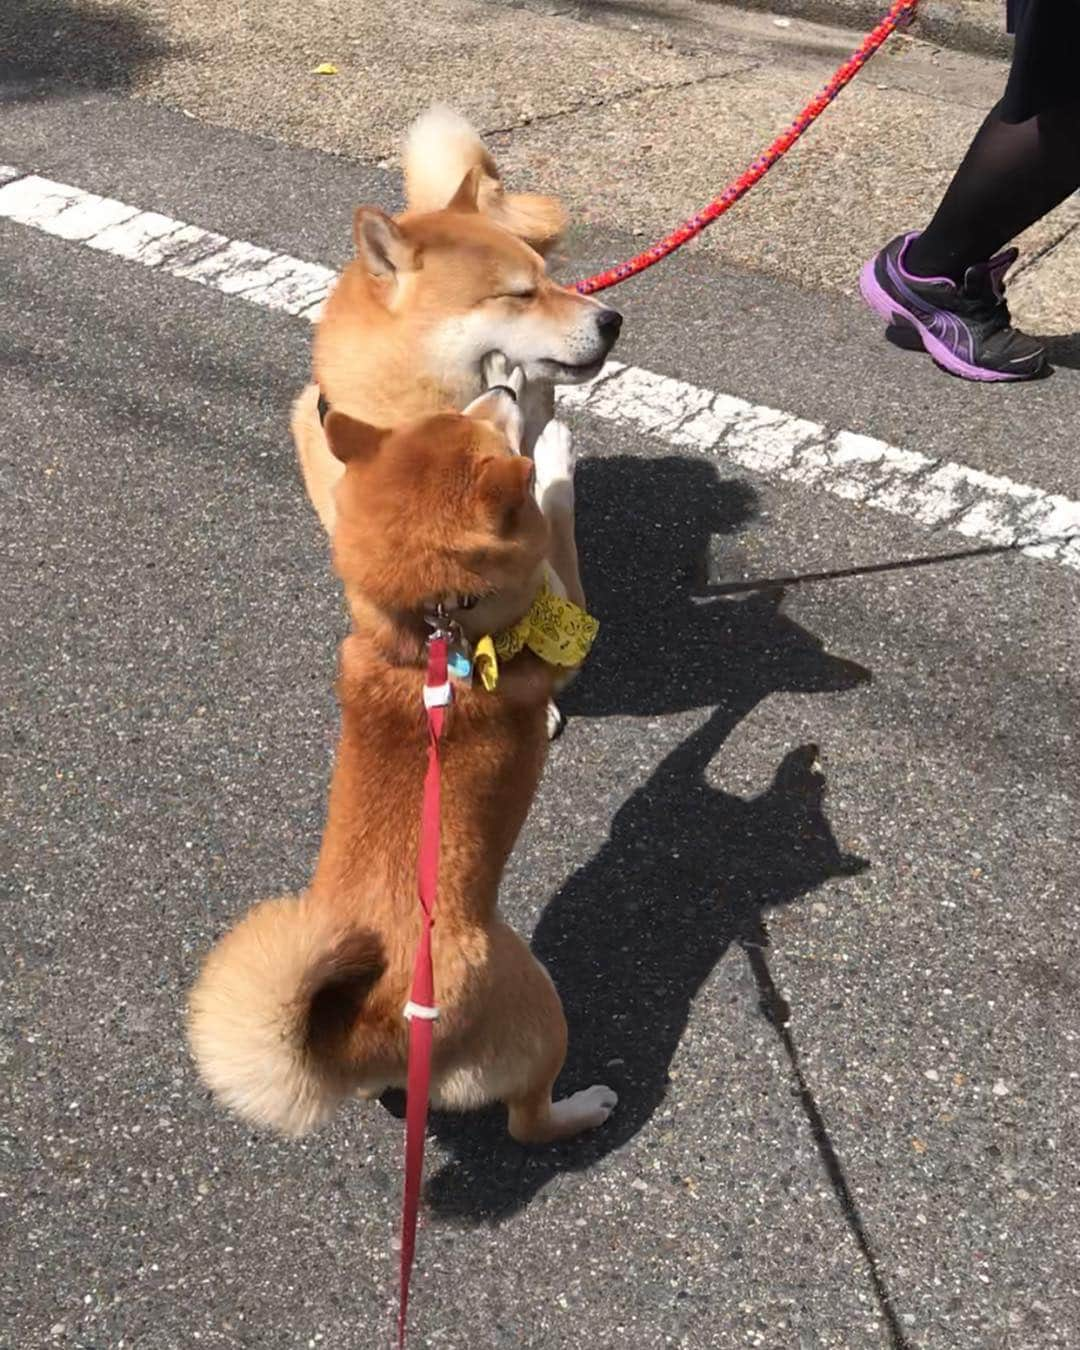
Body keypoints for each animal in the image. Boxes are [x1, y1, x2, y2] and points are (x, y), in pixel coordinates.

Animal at [187, 394, 615, 1150]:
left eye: (462, 411)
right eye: (487, 427)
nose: (505, 391)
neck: (424, 642)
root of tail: (370, 1029)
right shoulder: (567, 619)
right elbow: (559, 515)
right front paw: (556, 456)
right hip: (540, 1007)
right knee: (528, 1124)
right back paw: (585, 1107)